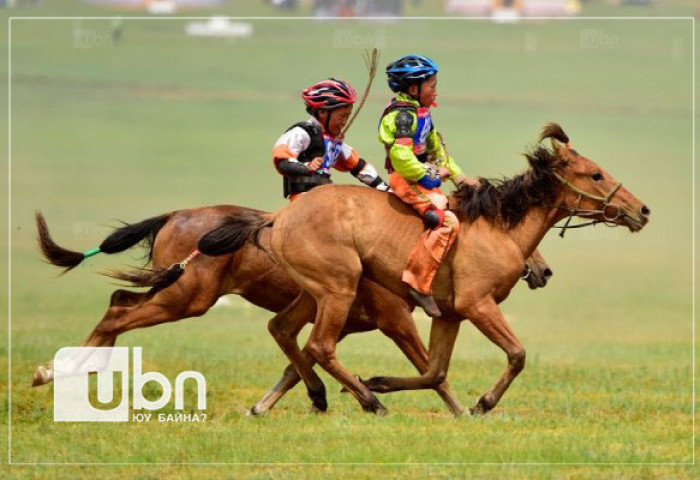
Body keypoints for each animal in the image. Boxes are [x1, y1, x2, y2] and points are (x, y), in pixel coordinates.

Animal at [196, 124, 652, 416]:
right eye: (595, 174)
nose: (642, 210)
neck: (496, 226)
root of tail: (278, 218)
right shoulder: (476, 305)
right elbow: (516, 355)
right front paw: (481, 404)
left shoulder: (449, 314)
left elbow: (434, 371)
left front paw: (382, 381)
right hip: (338, 289)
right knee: (319, 345)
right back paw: (367, 401)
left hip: (314, 293)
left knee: (285, 331)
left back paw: (323, 394)